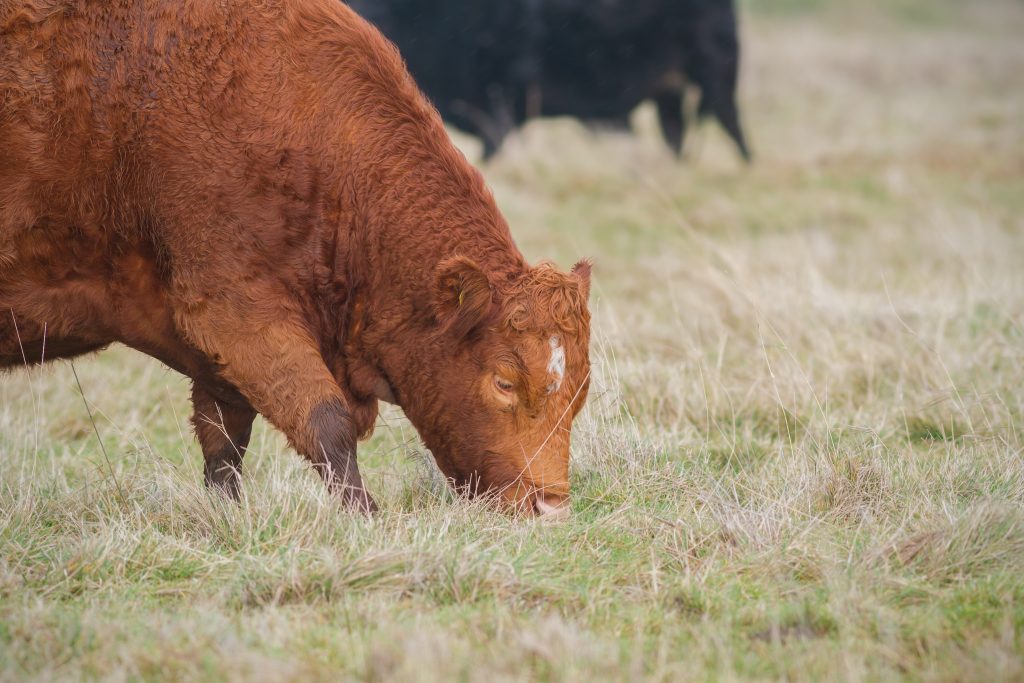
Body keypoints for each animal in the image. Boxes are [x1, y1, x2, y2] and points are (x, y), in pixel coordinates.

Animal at [0, 0, 593, 516]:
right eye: (503, 382)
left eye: (580, 391)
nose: (549, 508)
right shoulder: (236, 311)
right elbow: (325, 423)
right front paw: (367, 519)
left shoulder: (217, 356)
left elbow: (225, 446)